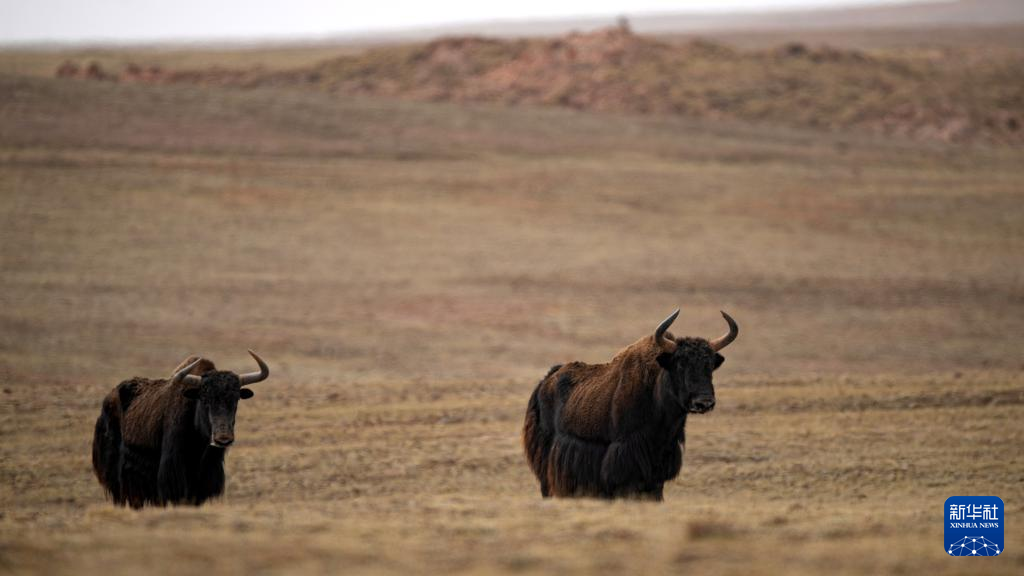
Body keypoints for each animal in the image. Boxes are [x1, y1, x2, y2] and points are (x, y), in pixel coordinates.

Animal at [523, 309, 738, 500]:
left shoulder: (657, 471)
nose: (704, 402)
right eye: (680, 364)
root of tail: (546, 379)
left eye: (709, 366)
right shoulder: (624, 461)